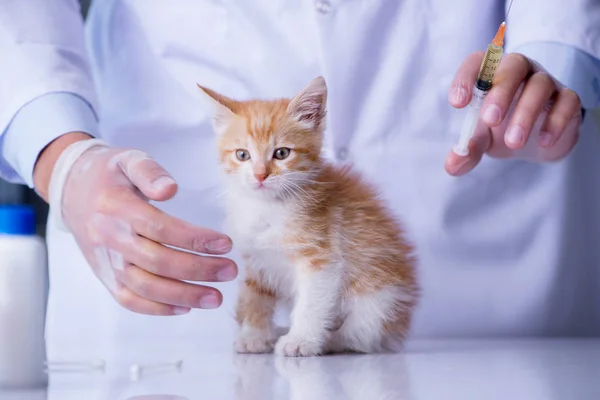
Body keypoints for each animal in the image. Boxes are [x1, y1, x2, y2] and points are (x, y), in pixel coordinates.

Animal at [197, 77, 418, 356]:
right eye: (242, 154)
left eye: (281, 153)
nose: (260, 175)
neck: (268, 207)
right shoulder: (256, 257)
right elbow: (255, 294)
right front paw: (254, 335)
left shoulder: (321, 256)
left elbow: (312, 302)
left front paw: (300, 340)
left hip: (380, 299)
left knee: (359, 336)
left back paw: (325, 340)